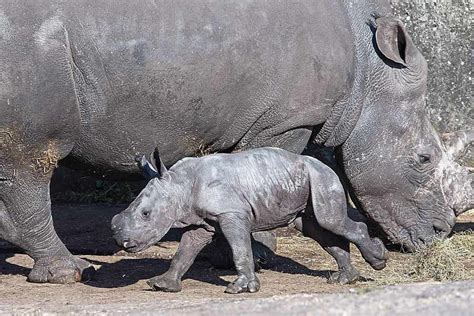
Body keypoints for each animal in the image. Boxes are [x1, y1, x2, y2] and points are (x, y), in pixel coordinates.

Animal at [112, 148, 388, 294]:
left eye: (145, 214)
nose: (119, 238)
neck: (179, 183)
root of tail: (323, 163)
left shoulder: (231, 213)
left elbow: (239, 248)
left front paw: (241, 288)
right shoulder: (200, 221)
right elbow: (185, 251)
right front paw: (162, 285)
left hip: (321, 177)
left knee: (331, 220)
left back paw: (378, 261)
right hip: (306, 179)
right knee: (315, 228)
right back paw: (344, 279)